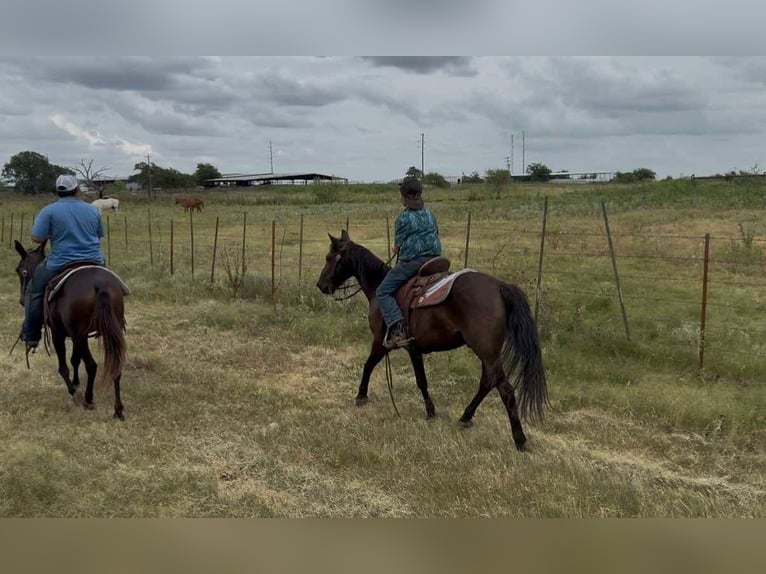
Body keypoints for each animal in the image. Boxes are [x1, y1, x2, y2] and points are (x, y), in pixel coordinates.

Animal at [14, 241, 128, 419]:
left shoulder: (58, 333)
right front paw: (76, 383)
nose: (21, 300)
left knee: (91, 365)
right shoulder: (77, 335)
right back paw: (118, 409)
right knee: (114, 363)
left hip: (78, 334)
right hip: (106, 331)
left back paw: (88, 399)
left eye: (20, 270)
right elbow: (75, 359)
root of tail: (99, 284)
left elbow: (63, 367)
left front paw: (74, 391)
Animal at [316, 230, 548, 451]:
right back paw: (465, 417)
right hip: (488, 353)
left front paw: (361, 396)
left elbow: (373, 367)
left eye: (329, 257)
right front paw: (430, 412)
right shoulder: (412, 348)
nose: (320, 285)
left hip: (486, 351)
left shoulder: (383, 342)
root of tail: (499, 286)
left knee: (505, 389)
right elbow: (418, 379)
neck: (378, 287)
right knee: (487, 383)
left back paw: (519, 439)